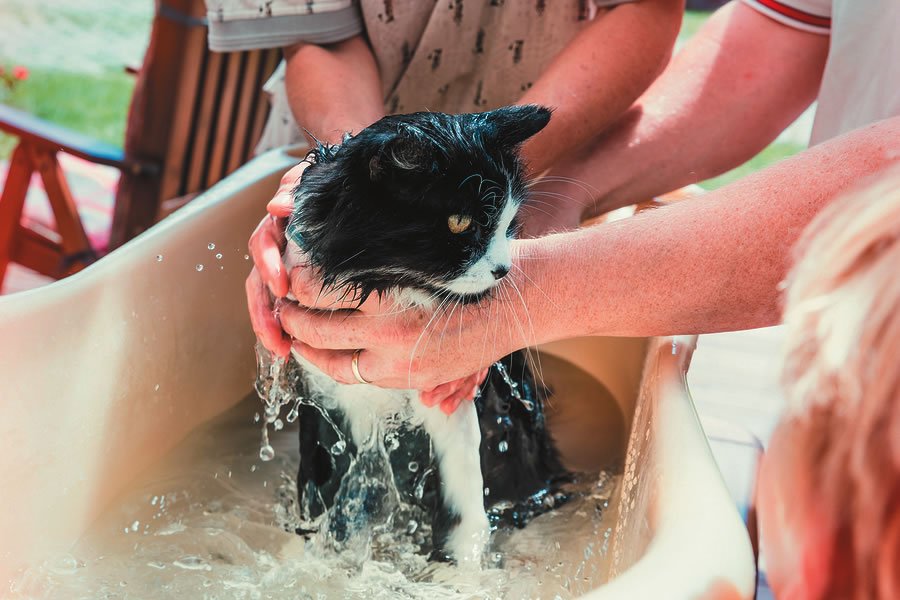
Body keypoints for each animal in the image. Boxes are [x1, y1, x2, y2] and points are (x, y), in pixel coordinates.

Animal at [282, 104, 568, 564]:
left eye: (508, 223)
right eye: (459, 223)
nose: (504, 269)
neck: (384, 287)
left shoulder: (450, 402)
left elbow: (463, 508)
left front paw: (461, 570)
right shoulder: (320, 397)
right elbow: (316, 493)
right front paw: (308, 558)